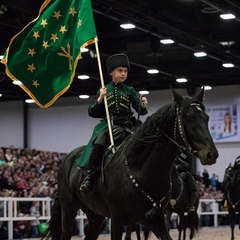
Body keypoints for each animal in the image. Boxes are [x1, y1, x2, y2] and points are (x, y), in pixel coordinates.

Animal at [44, 88, 218, 240]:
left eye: (207, 118)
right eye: (189, 118)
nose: (211, 154)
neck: (142, 170)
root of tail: (67, 159)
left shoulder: (154, 218)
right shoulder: (117, 219)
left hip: (96, 216)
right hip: (69, 210)